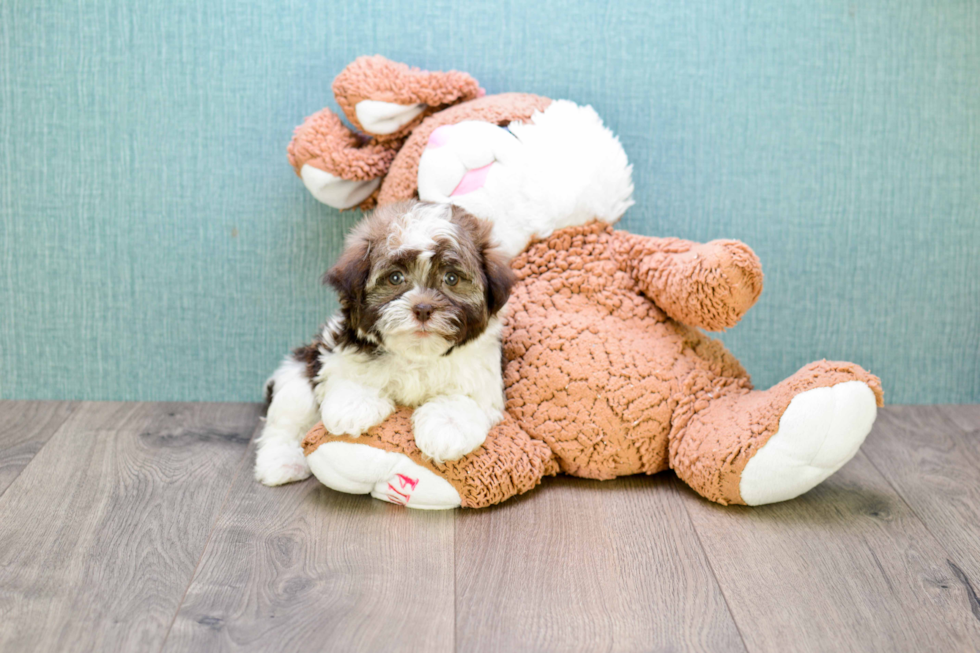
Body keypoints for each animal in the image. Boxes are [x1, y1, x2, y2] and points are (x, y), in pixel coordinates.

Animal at [253, 201, 512, 486]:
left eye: (452, 278)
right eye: (395, 278)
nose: (423, 308)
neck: (417, 355)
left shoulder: (481, 376)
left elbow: (464, 399)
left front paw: (446, 427)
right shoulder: (334, 351)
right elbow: (349, 374)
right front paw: (354, 406)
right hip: (298, 372)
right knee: (286, 422)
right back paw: (282, 462)